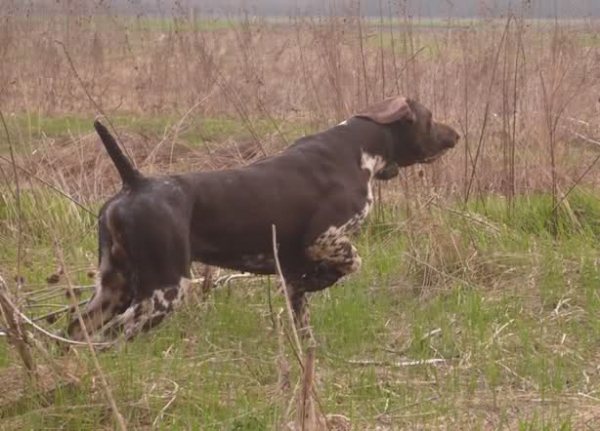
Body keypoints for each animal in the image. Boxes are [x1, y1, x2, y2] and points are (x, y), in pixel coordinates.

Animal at [66, 96, 459, 343]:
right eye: (429, 118)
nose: (456, 135)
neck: (357, 147)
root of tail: (136, 182)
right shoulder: (323, 238)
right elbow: (352, 261)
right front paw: (324, 277)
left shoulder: (292, 273)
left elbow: (303, 322)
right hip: (163, 292)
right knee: (115, 335)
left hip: (113, 290)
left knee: (76, 331)